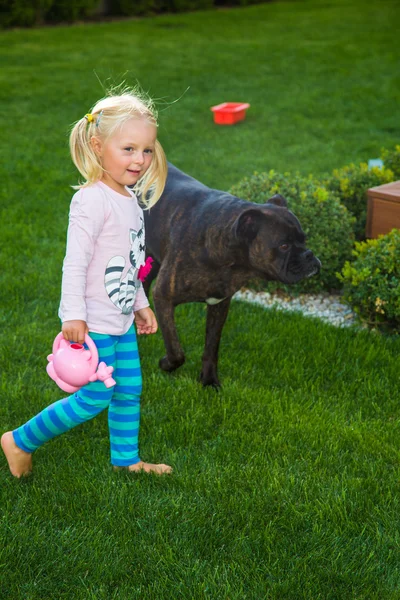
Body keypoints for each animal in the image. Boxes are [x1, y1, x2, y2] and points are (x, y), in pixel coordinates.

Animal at [142, 164, 320, 386]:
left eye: (304, 239)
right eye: (284, 246)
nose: (309, 254)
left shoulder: (219, 304)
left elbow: (211, 347)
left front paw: (209, 381)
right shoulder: (164, 297)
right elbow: (176, 351)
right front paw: (166, 364)